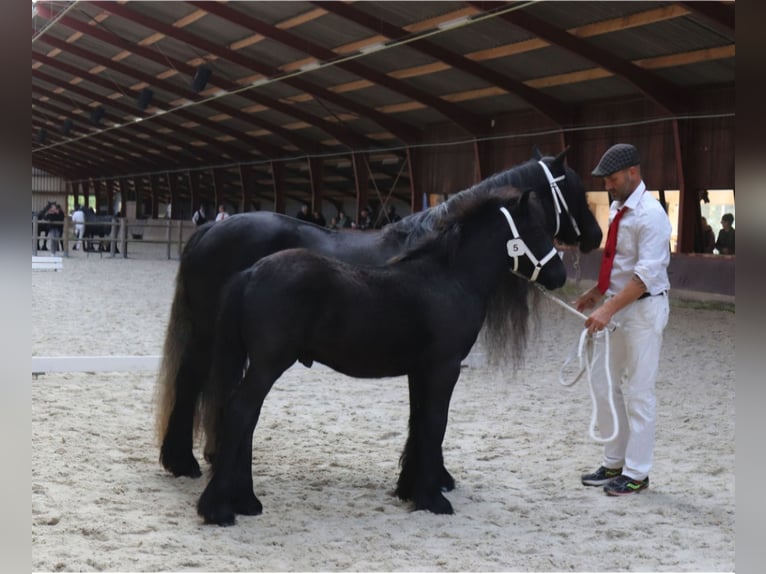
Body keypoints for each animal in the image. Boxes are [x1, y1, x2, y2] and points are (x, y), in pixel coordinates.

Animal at [154, 150, 600, 482]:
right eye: (572, 191)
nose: (595, 237)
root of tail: (209, 229)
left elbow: (422, 418)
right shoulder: (439, 363)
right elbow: (432, 420)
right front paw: (435, 479)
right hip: (210, 335)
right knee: (190, 381)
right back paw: (183, 462)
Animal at [196, 189, 568, 528]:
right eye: (537, 230)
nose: (560, 276)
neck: (451, 278)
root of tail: (251, 272)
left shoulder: (421, 371)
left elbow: (419, 422)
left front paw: (411, 490)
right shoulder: (444, 368)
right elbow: (436, 423)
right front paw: (433, 499)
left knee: (245, 417)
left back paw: (246, 501)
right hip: (267, 365)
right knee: (241, 413)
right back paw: (219, 509)